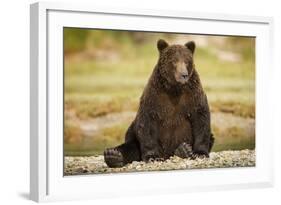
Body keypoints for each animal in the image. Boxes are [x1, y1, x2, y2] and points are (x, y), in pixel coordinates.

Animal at [104, 39, 213, 167]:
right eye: (174, 61)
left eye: (187, 61)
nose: (184, 75)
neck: (174, 89)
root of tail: (166, 155)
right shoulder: (155, 96)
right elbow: (147, 122)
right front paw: (152, 157)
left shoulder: (192, 94)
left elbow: (200, 117)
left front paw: (200, 153)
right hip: (132, 131)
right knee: (131, 145)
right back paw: (113, 155)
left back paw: (183, 150)